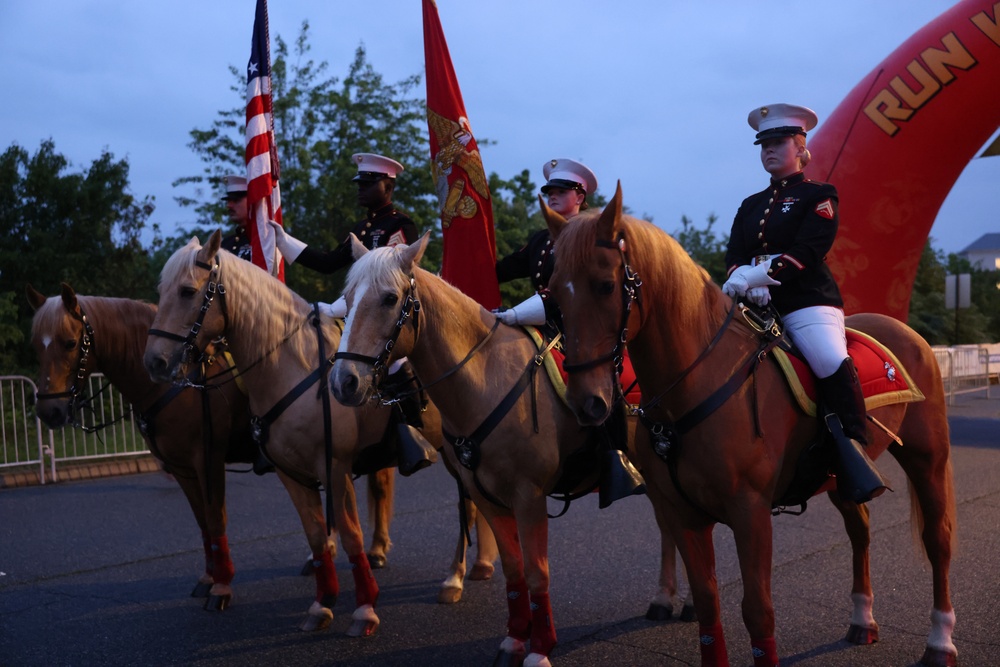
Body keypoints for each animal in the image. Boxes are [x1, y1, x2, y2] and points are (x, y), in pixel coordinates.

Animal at [139, 234, 498, 636]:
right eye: (161, 291)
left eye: (187, 291)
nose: (154, 361)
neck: (290, 366)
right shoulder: (290, 473)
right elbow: (315, 536)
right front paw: (322, 603)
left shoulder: (335, 468)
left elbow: (351, 535)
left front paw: (365, 608)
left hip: (453, 453)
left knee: (467, 506)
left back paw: (456, 577)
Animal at [328, 235, 688, 667]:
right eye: (348, 298)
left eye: (389, 298)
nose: (343, 381)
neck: (484, 378)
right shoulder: (488, 497)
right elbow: (514, 570)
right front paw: (515, 639)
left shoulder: (528, 496)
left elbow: (536, 572)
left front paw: (541, 648)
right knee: (669, 525)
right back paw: (666, 598)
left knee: (673, 523)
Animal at [544, 185, 956, 667]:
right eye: (553, 292)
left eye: (607, 285)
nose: (586, 402)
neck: (697, 380)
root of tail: (907, 334)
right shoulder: (685, 513)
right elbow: (708, 606)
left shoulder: (751, 512)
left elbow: (758, 611)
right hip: (844, 476)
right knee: (861, 530)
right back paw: (862, 621)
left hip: (927, 458)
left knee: (938, 540)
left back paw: (940, 642)